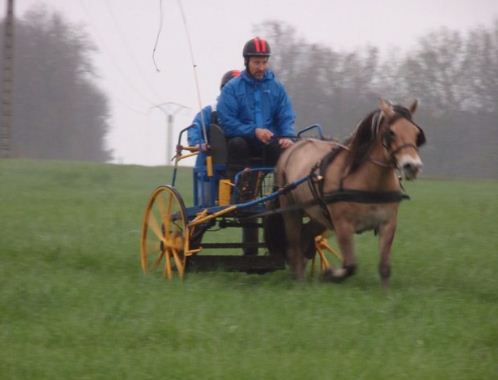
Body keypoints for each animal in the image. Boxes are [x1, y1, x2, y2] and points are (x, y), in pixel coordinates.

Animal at [274, 99, 426, 286]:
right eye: (391, 132)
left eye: (416, 133)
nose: (412, 166)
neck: (370, 183)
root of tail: (294, 146)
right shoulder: (343, 225)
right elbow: (350, 265)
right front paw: (330, 274)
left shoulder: (388, 224)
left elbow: (384, 268)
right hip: (291, 210)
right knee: (294, 245)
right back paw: (300, 280)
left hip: (318, 215)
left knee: (306, 238)